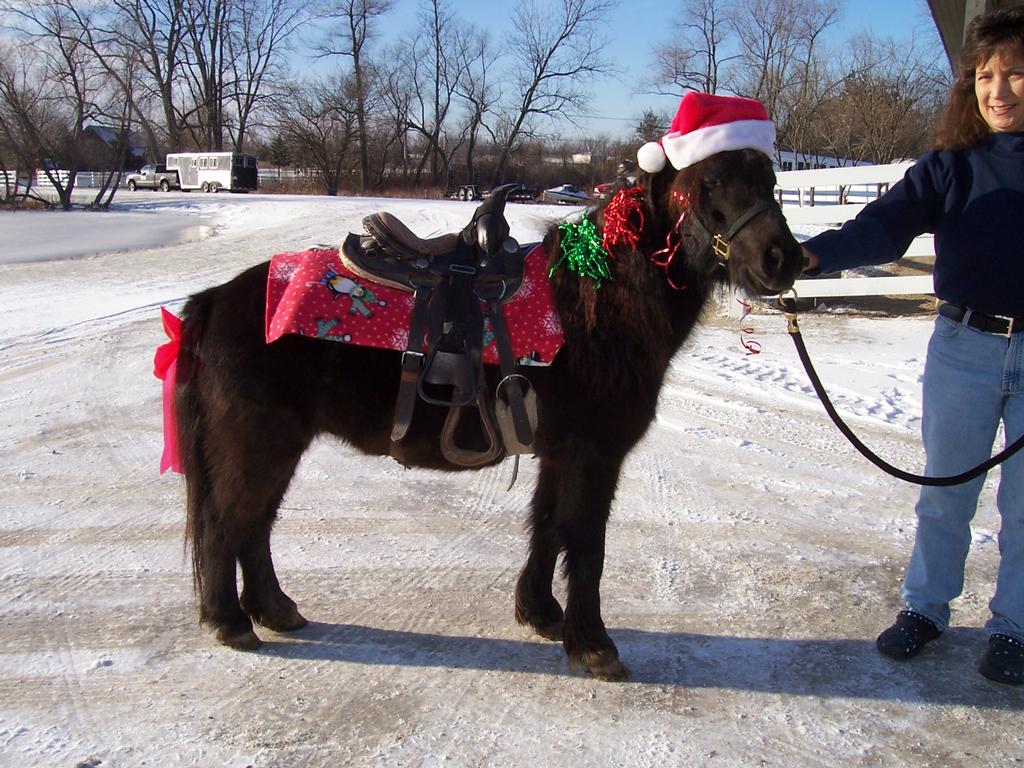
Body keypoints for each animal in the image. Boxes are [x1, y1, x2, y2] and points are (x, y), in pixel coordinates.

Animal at [171, 147, 804, 680]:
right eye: (709, 181)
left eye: (771, 178)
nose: (784, 258)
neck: (599, 307)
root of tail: (215, 301)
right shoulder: (594, 455)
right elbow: (586, 543)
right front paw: (593, 645)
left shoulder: (559, 455)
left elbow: (548, 527)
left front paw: (541, 613)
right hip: (259, 443)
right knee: (228, 524)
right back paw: (232, 623)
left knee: (253, 526)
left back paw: (275, 610)